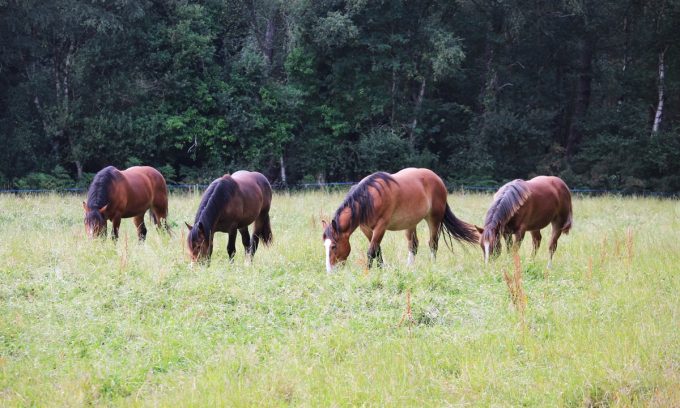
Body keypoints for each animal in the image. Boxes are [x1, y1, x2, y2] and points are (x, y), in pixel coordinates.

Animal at [321, 168, 479, 272]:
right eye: (325, 245)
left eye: (334, 246)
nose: (330, 271)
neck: (369, 199)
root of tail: (437, 179)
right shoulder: (366, 229)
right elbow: (377, 249)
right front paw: (381, 269)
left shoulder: (381, 227)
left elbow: (371, 251)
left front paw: (368, 271)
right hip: (411, 224)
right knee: (413, 245)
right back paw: (409, 267)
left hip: (434, 219)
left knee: (433, 244)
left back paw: (432, 265)